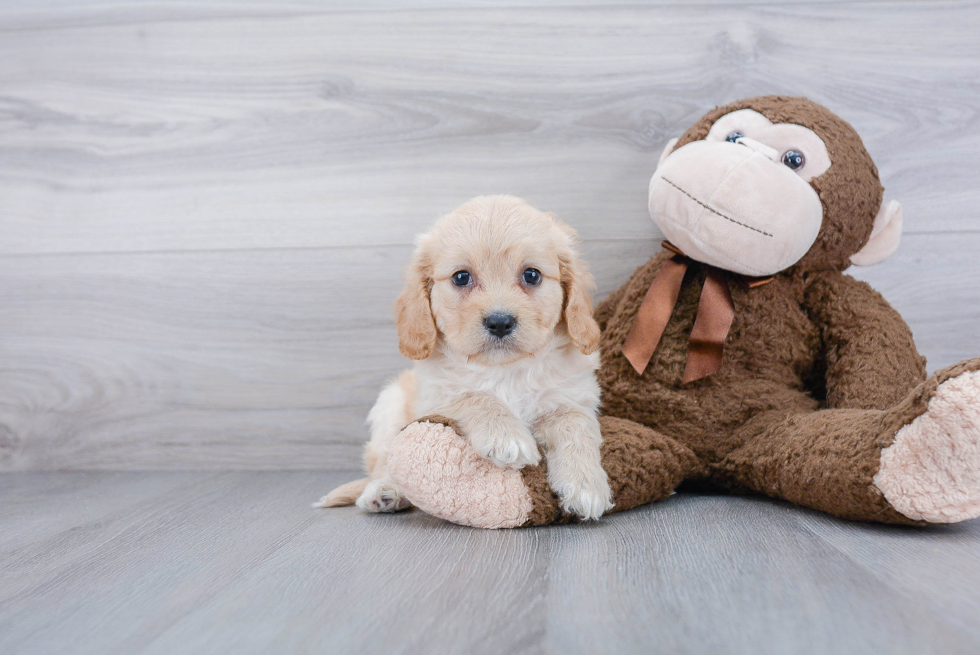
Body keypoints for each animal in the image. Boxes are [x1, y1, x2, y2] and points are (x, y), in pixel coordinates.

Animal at [316, 195, 612, 524]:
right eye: (461, 277)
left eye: (531, 275)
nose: (499, 322)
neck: (504, 370)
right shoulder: (436, 396)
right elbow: (475, 396)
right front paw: (506, 438)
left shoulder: (572, 397)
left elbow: (576, 426)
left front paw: (586, 485)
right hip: (390, 406)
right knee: (385, 460)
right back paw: (384, 491)